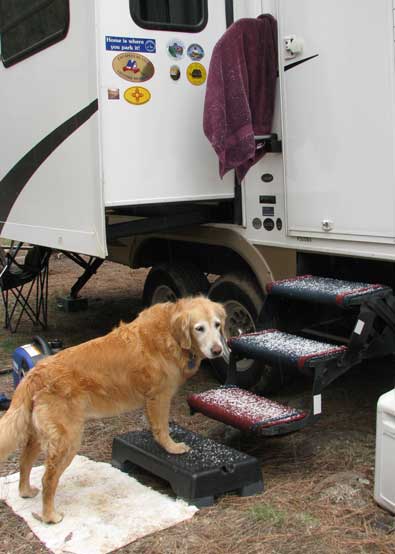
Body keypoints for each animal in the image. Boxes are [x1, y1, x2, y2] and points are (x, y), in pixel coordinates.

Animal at [0, 296, 226, 520]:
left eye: (217, 325)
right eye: (199, 328)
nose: (217, 350)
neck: (170, 330)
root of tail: (35, 372)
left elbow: (154, 426)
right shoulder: (159, 397)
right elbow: (162, 428)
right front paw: (172, 447)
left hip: (38, 434)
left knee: (24, 461)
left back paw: (25, 491)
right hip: (68, 439)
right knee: (48, 479)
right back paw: (50, 516)